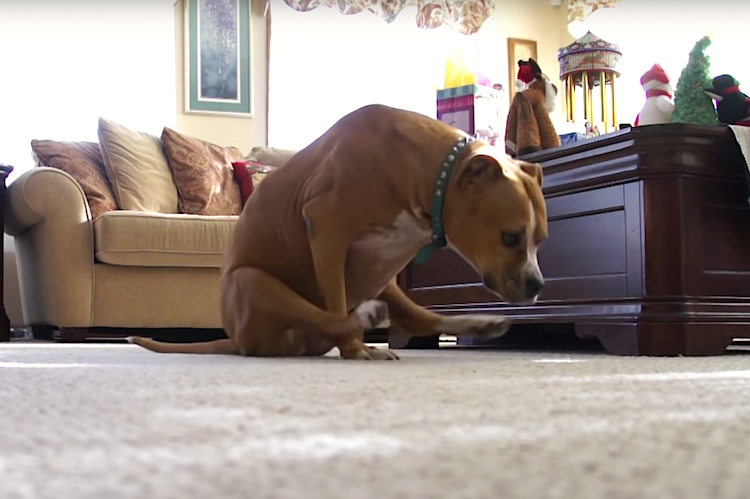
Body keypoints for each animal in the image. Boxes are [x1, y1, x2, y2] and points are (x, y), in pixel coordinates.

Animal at [131, 104, 548, 360]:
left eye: (540, 240)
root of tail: (237, 339)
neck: (427, 173)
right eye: (510, 237)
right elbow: (334, 302)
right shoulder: (327, 230)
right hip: (251, 281)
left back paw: (477, 322)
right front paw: (356, 350)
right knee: (327, 316)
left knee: (419, 319)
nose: (537, 285)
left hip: (384, 281)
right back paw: (362, 323)